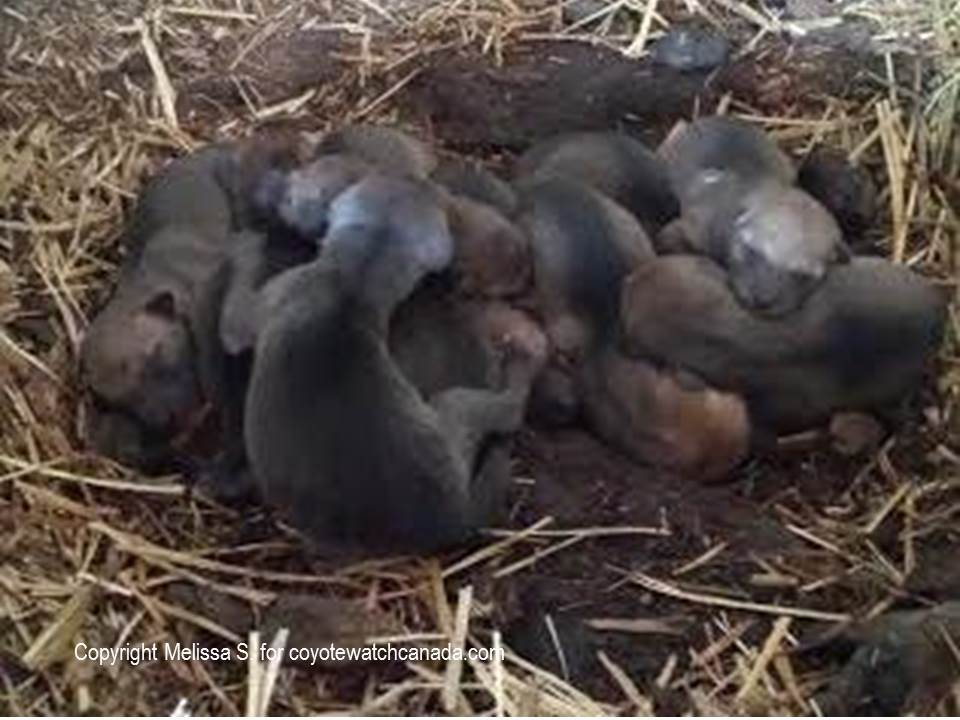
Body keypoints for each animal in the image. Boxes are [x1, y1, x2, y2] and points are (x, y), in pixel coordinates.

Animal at [223, 174, 548, 552]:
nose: (418, 179)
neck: (357, 278)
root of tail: (454, 519)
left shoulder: (274, 296)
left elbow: (235, 316)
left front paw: (244, 245)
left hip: (452, 405)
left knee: (509, 409)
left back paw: (521, 363)